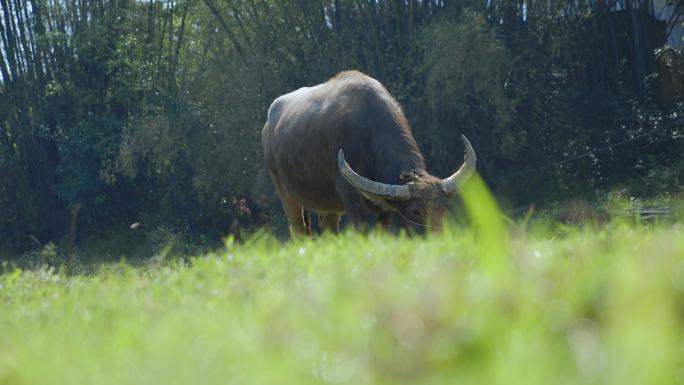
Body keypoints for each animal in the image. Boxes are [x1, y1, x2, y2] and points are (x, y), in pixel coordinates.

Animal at [262, 70, 476, 236]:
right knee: (298, 228)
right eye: (415, 211)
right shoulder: (348, 193)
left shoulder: (385, 208)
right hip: (284, 191)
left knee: (327, 225)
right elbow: (362, 229)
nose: (438, 237)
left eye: (444, 208)